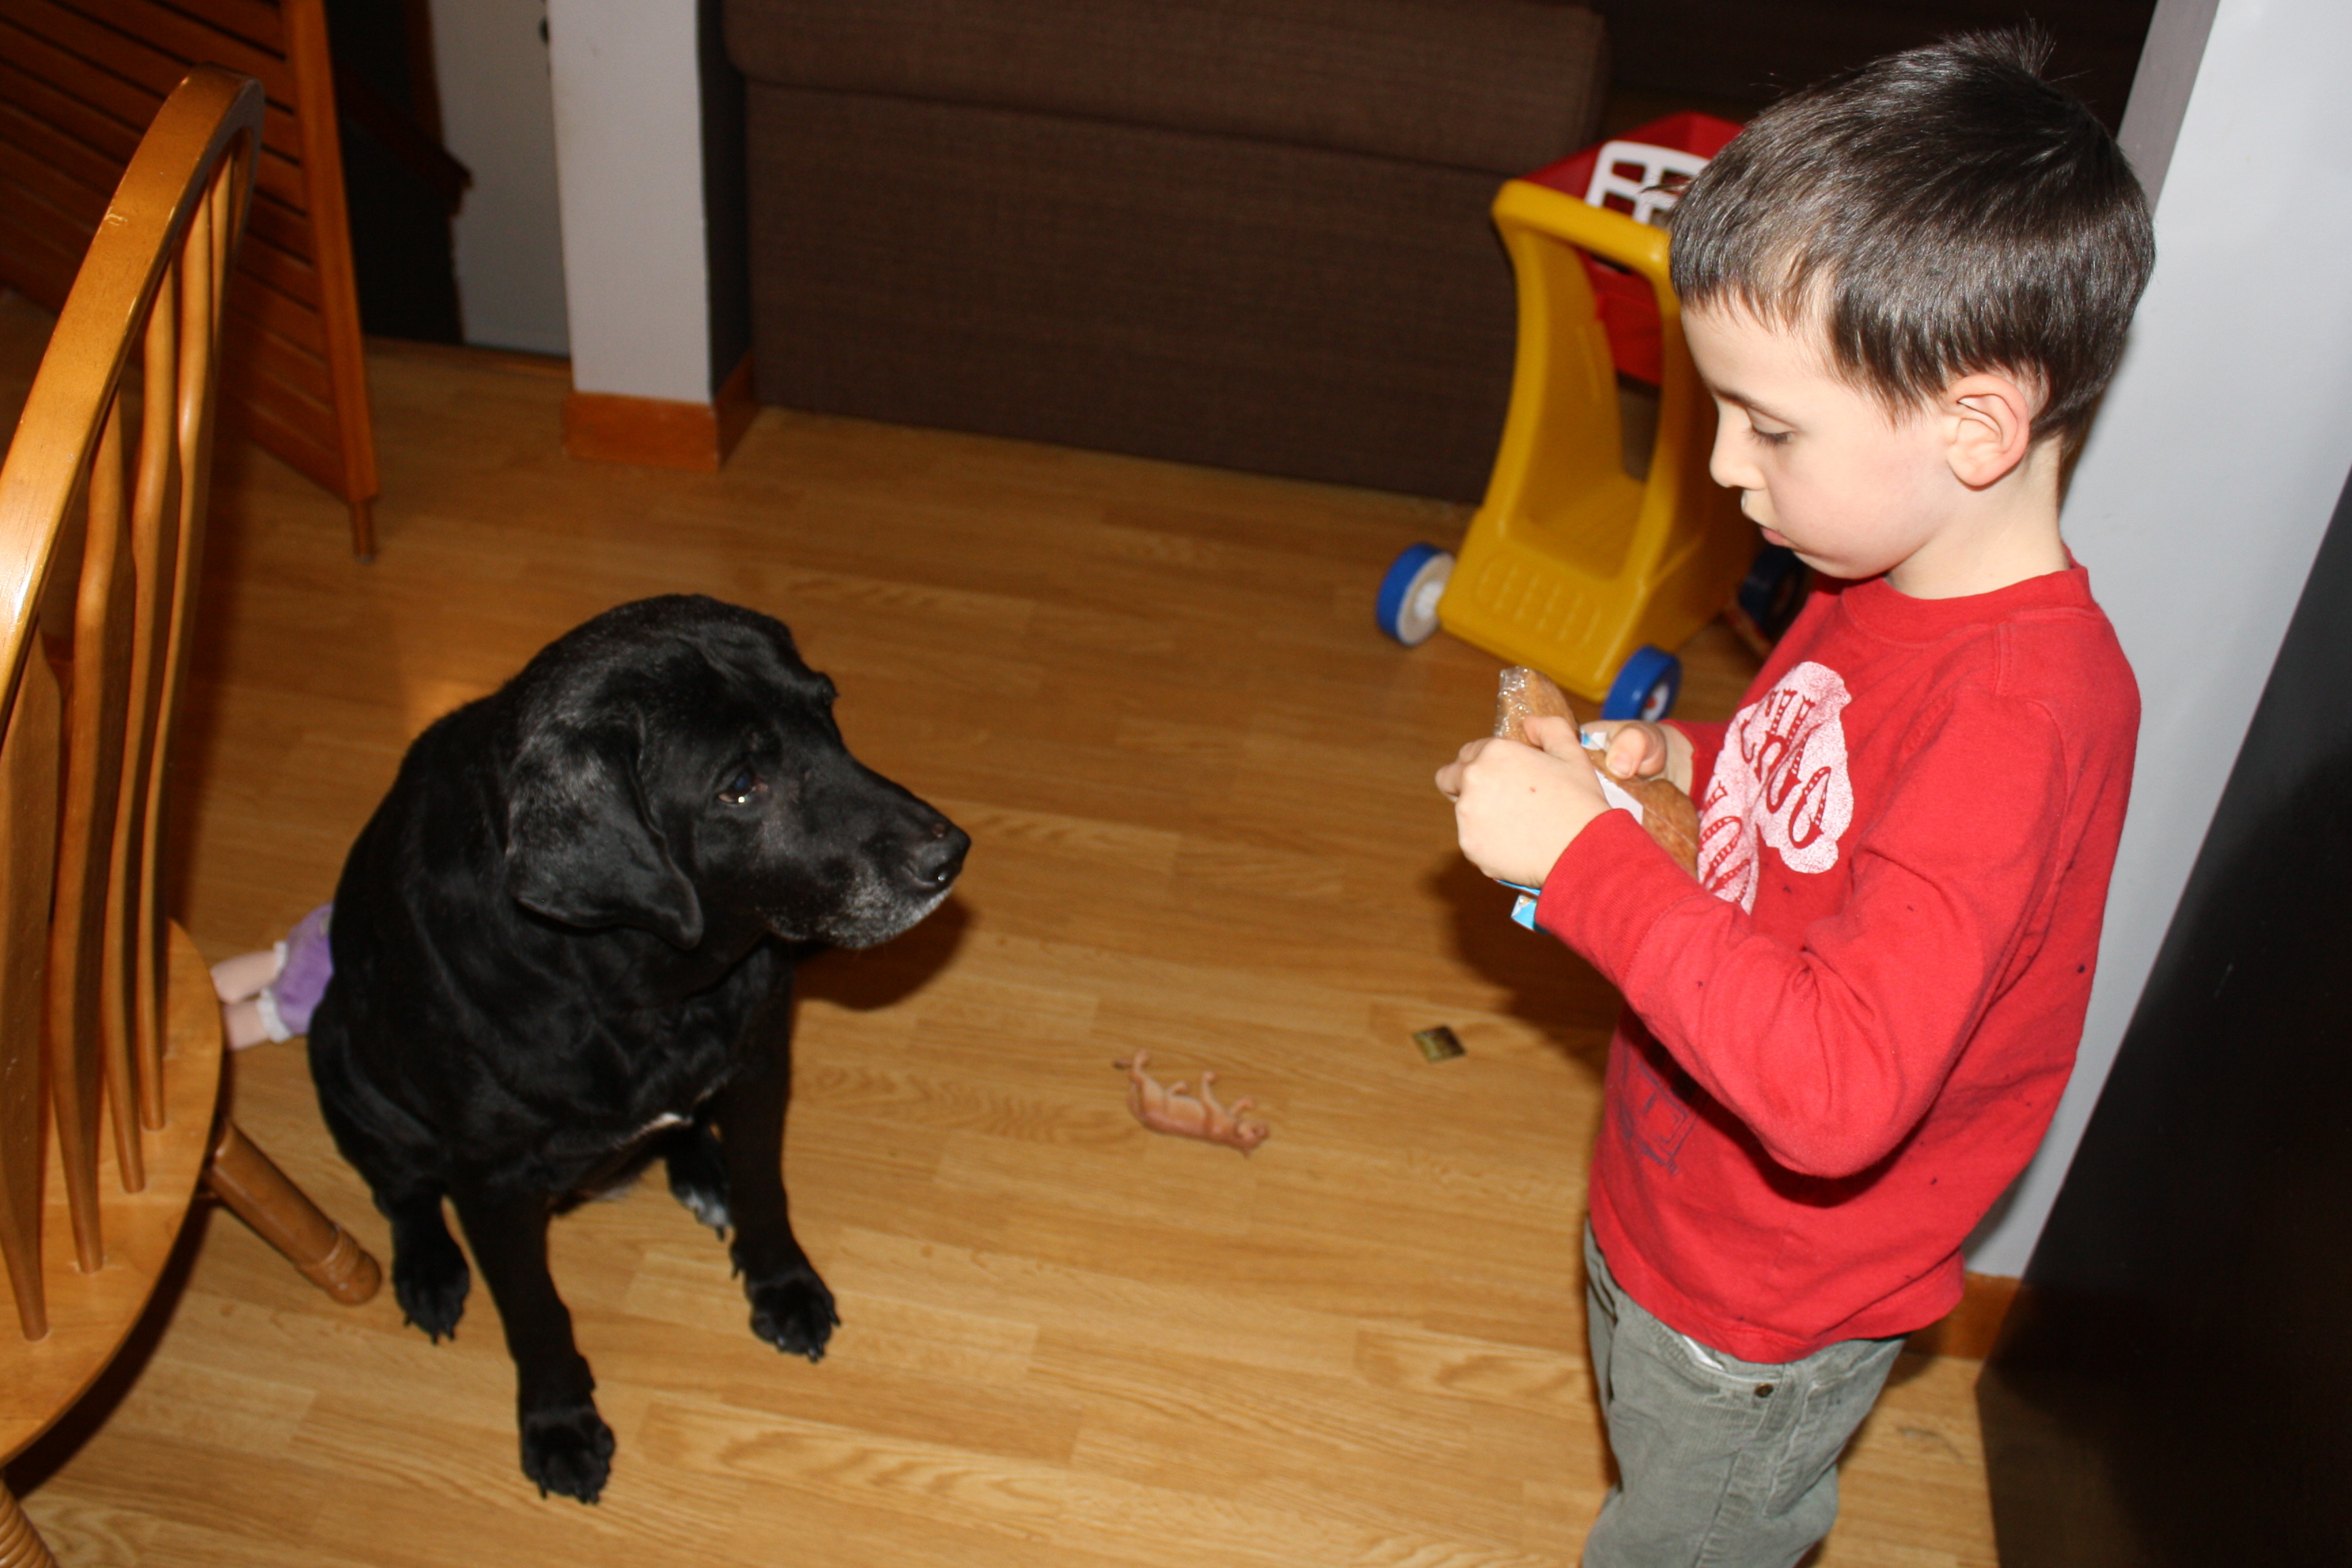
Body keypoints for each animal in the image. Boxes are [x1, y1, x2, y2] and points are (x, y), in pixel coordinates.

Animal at [306, 595, 967, 1502]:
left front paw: (782, 1285)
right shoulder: (491, 1180)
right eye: (739, 786)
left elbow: (766, 1192)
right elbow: (536, 1310)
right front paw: (558, 1423)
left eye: (826, 711)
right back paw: (430, 1269)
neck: (637, 984)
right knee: (401, 1191)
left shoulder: (758, 1064)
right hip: (342, 1054)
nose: (948, 854)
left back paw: (700, 1168)